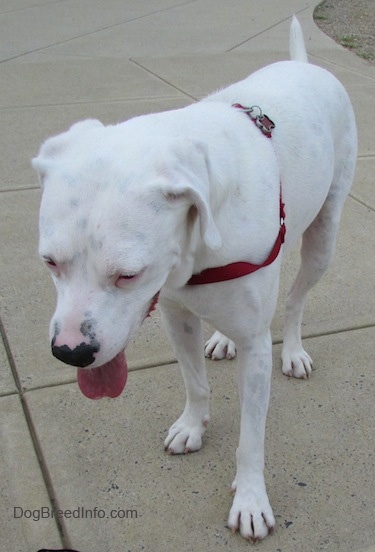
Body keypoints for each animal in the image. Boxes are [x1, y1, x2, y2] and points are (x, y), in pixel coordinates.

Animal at [33, 18, 358, 544]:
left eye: (129, 275)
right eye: (50, 262)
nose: (70, 353)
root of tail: (305, 65)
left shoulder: (254, 348)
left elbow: (251, 437)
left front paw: (251, 499)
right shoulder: (175, 312)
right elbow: (195, 383)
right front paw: (193, 425)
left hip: (323, 239)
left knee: (294, 300)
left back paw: (292, 349)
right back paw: (224, 338)